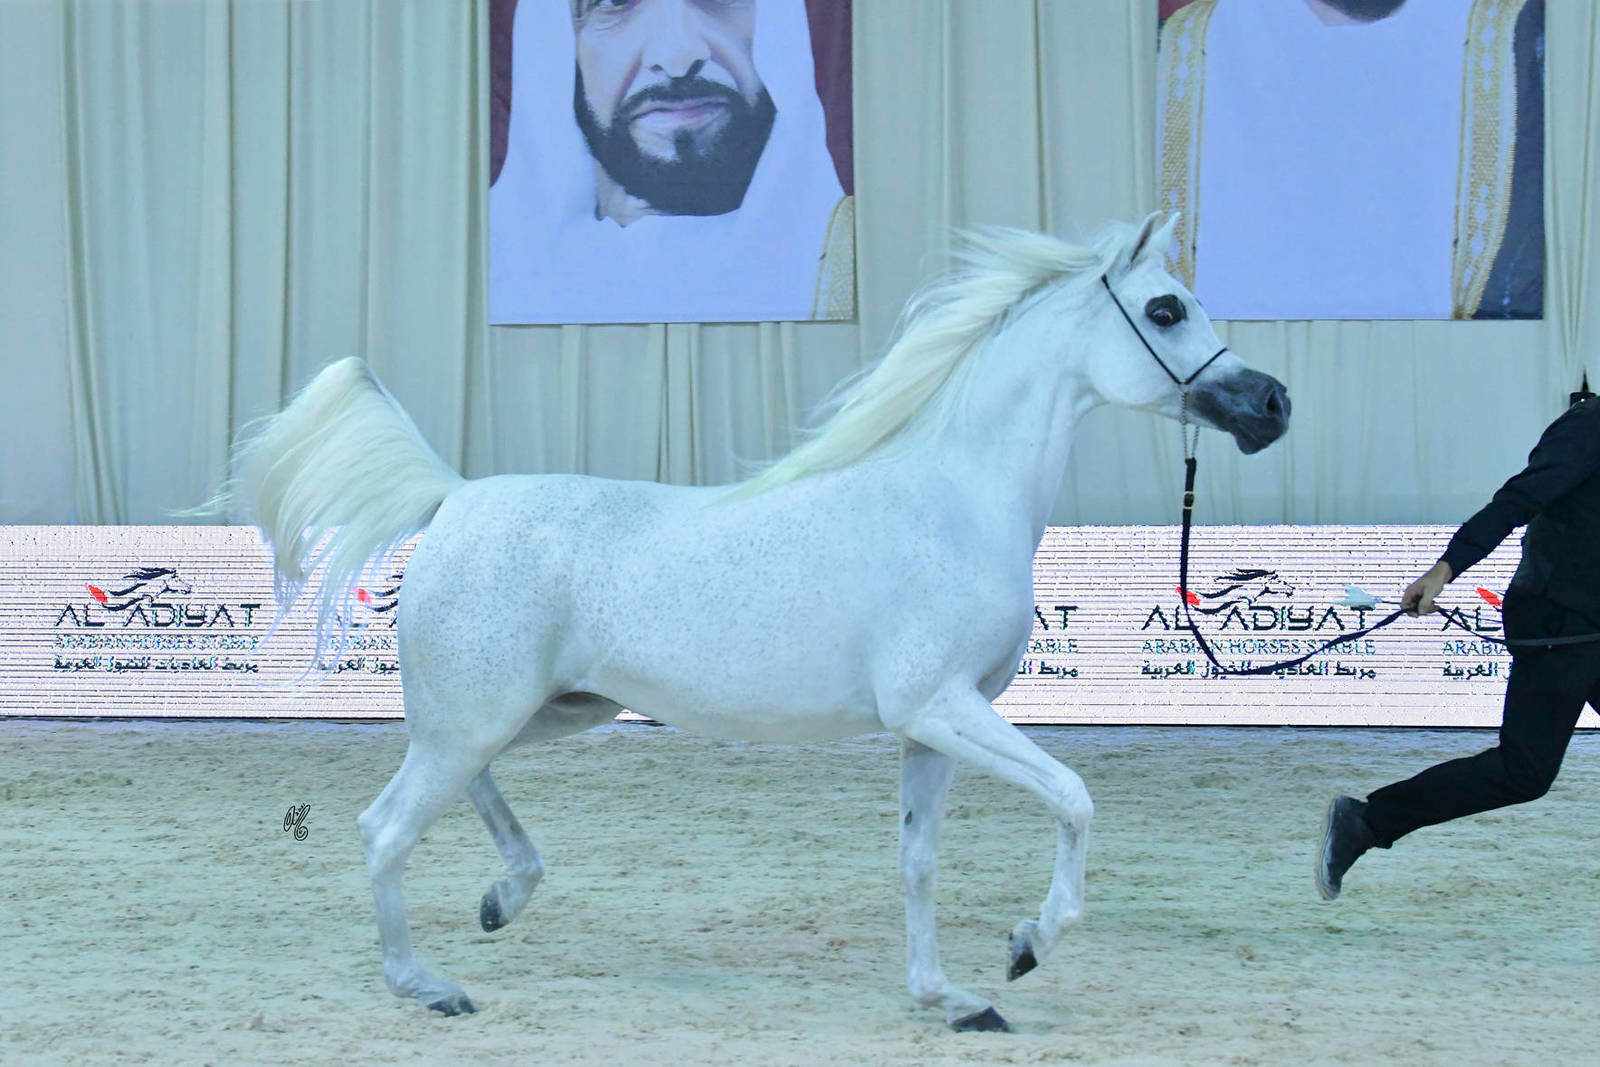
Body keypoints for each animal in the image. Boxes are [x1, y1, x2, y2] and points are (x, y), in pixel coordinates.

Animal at [218, 212, 1289, 1032]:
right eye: (1166, 308)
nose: (1273, 403)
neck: (952, 496)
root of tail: (454, 496)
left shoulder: (933, 727)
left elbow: (918, 862)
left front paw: (949, 998)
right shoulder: (943, 708)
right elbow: (1074, 798)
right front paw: (1028, 945)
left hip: (537, 711)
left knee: (460, 790)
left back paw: (502, 897)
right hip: (481, 716)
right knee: (385, 828)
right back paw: (428, 984)